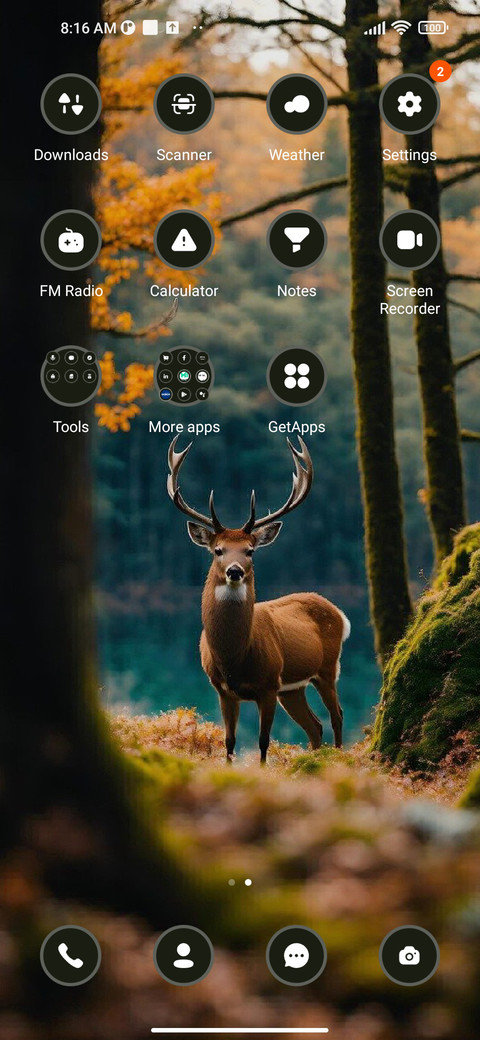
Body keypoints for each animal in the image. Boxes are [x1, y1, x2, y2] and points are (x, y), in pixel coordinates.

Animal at [167, 435, 350, 765]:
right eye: (218, 550)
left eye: (250, 550)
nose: (235, 571)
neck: (234, 657)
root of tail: (340, 613)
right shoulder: (223, 690)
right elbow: (229, 741)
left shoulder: (267, 685)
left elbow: (264, 742)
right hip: (292, 688)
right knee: (315, 725)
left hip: (327, 667)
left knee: (336, 715)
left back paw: (339, 760)